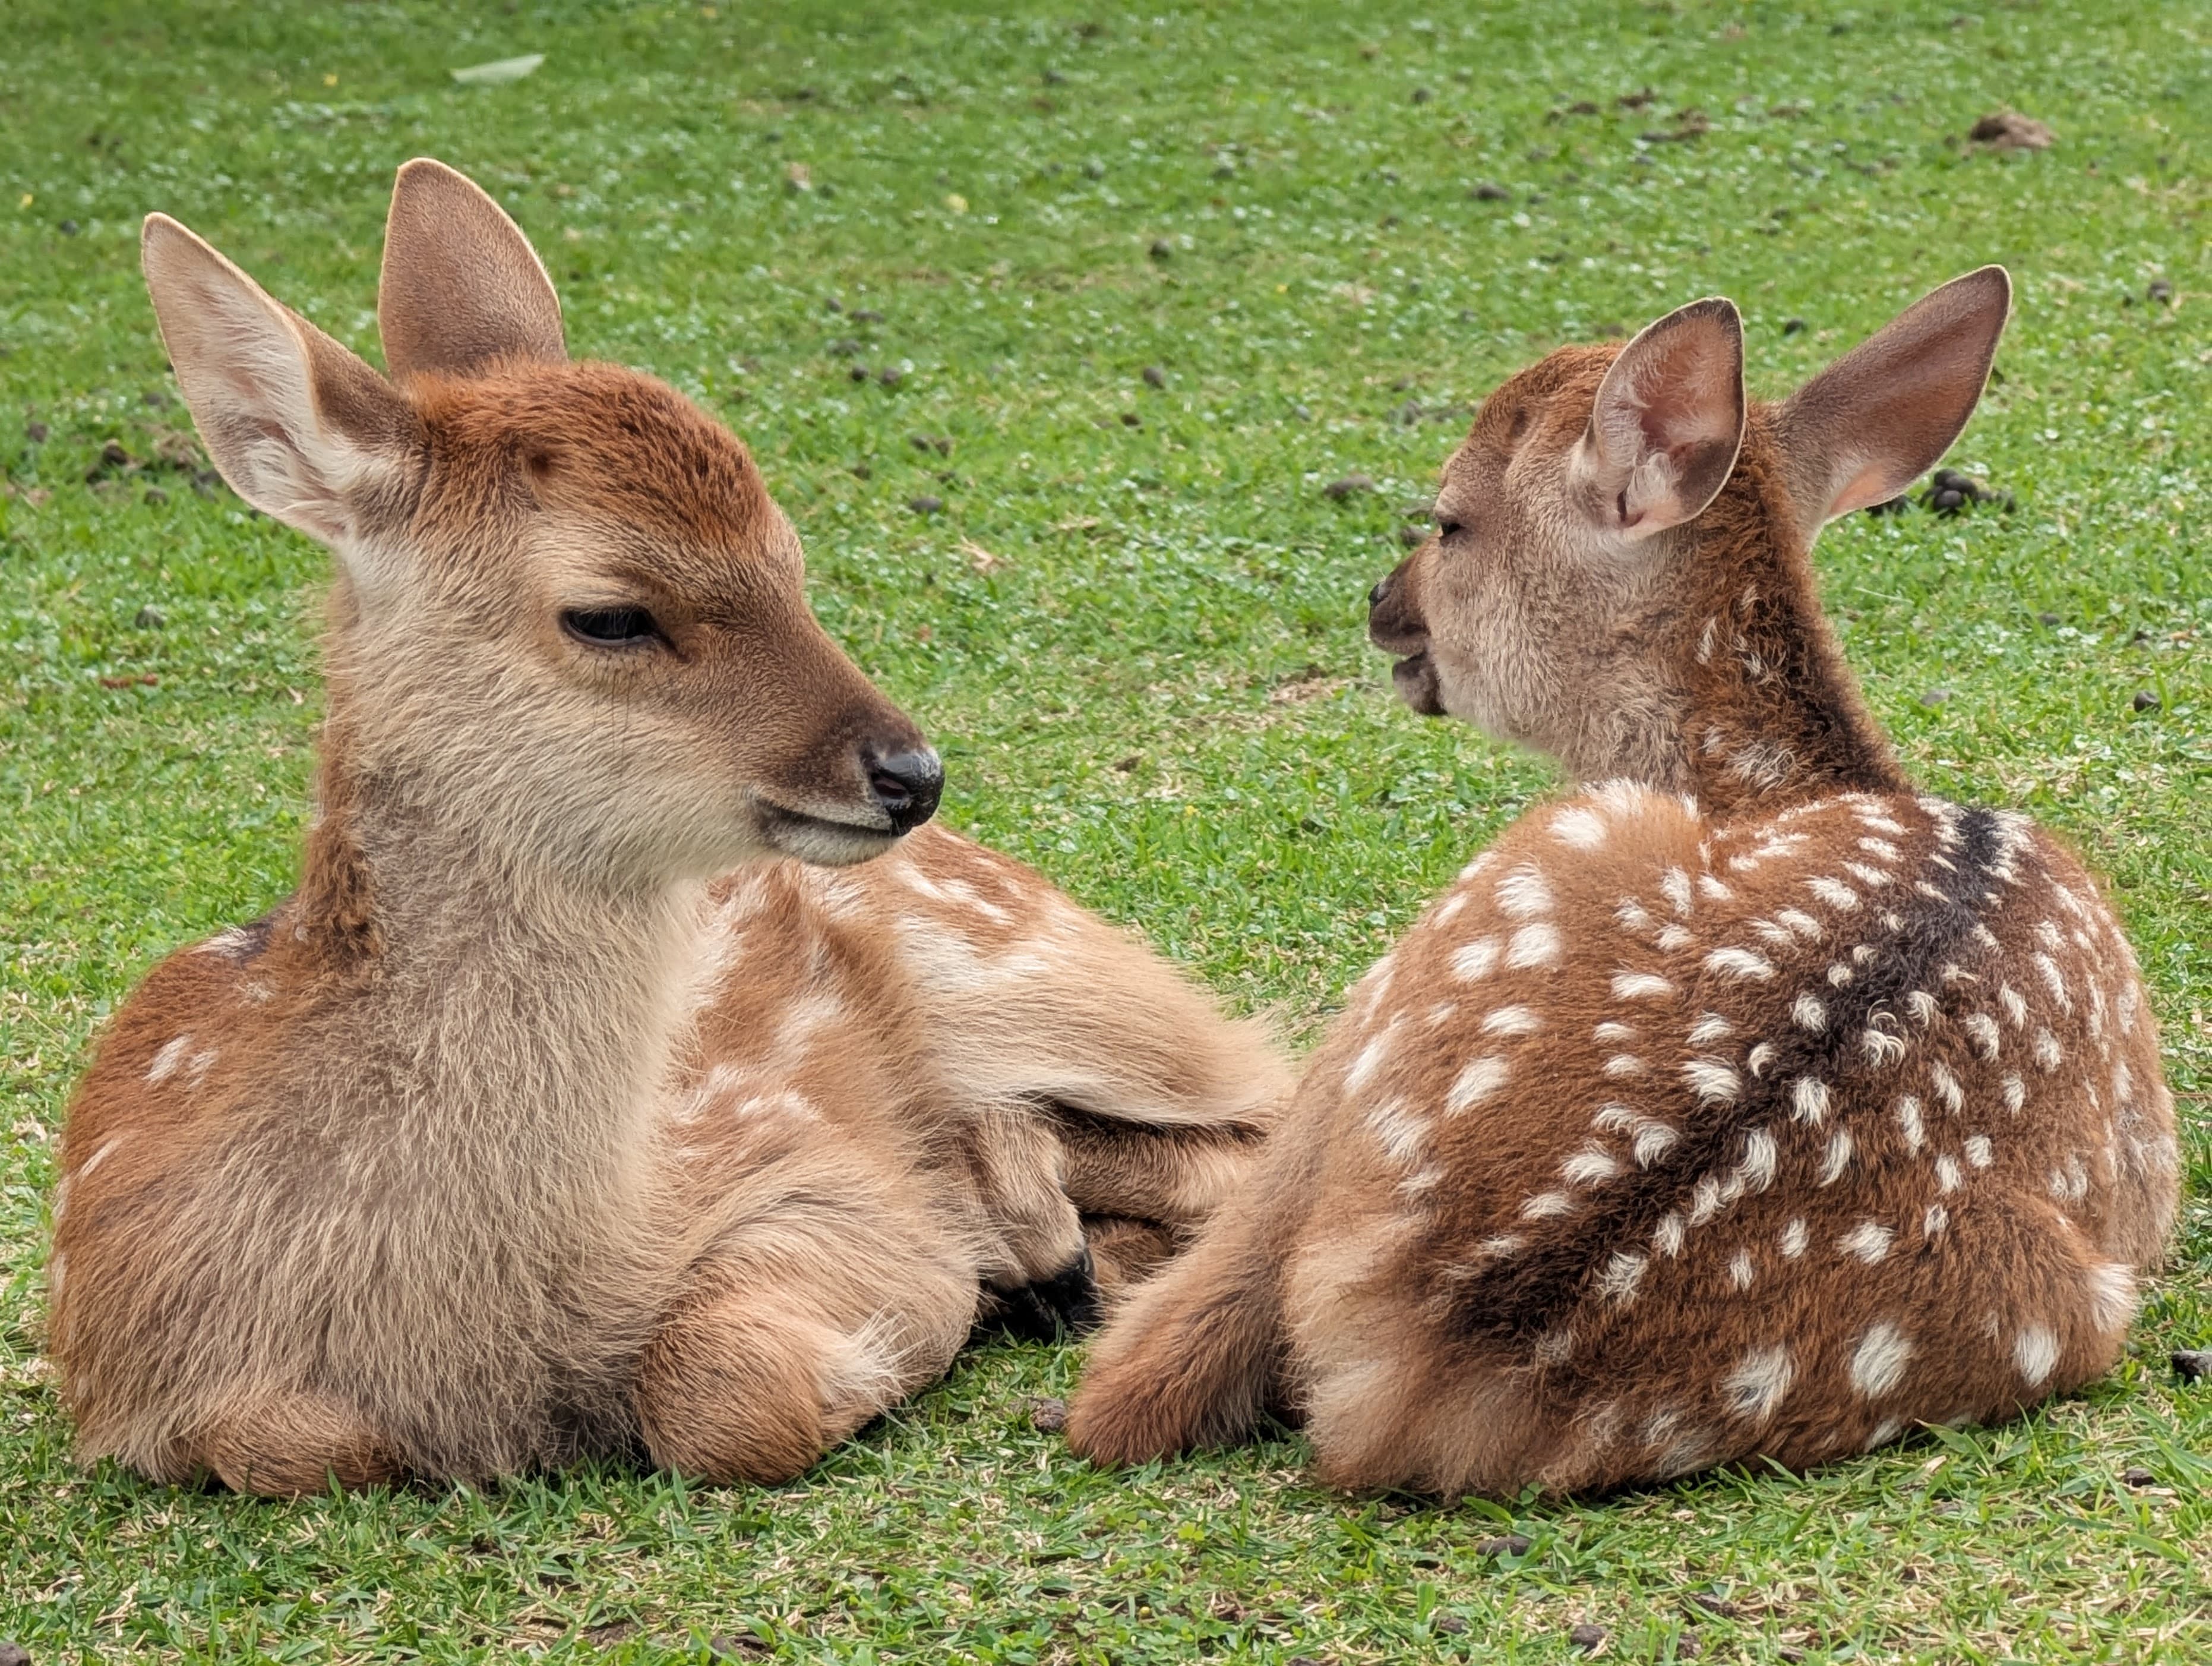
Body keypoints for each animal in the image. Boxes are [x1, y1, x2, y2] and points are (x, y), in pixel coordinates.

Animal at [44, 159, 1288, 1496]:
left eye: (790, 558)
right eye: (609, 613)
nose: (910, 773)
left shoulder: (807, 1166)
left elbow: (725, 1388)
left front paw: (942, 1301)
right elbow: (300, 1438)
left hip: (1060, 984)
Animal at [1066, 269, 2181, 1496]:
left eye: (1447, 519)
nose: (1377, 600)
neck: (1782, 786)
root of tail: (1427, 1345)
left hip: (1478, 900)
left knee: (1128, 1379)